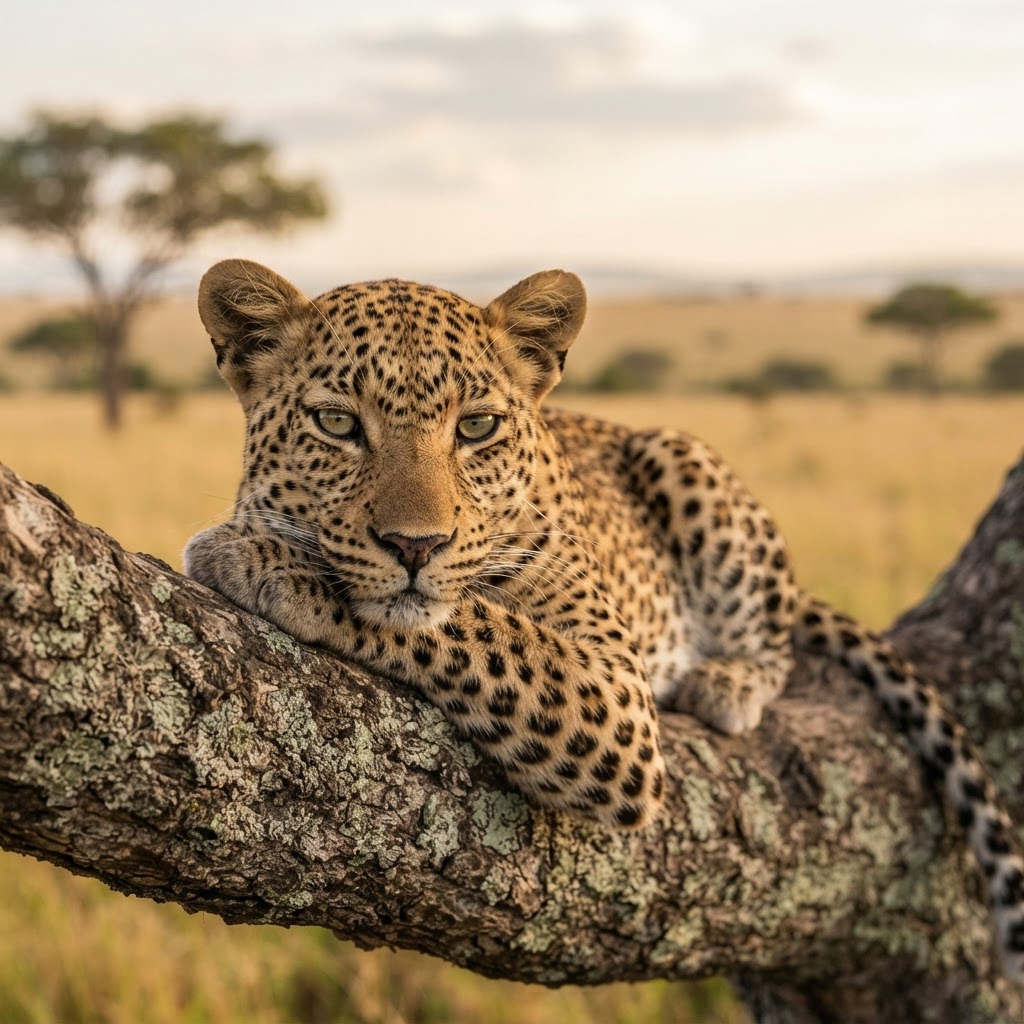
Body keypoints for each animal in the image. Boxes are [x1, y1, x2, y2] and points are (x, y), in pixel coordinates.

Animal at [184, 258, 1024, 984]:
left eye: (477, 428)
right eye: (336, 423)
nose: (415, 544)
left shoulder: (615, 693)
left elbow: (483, 624)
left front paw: (263, 558)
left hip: (680, 455)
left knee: (774, 642)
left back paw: (728, 680)